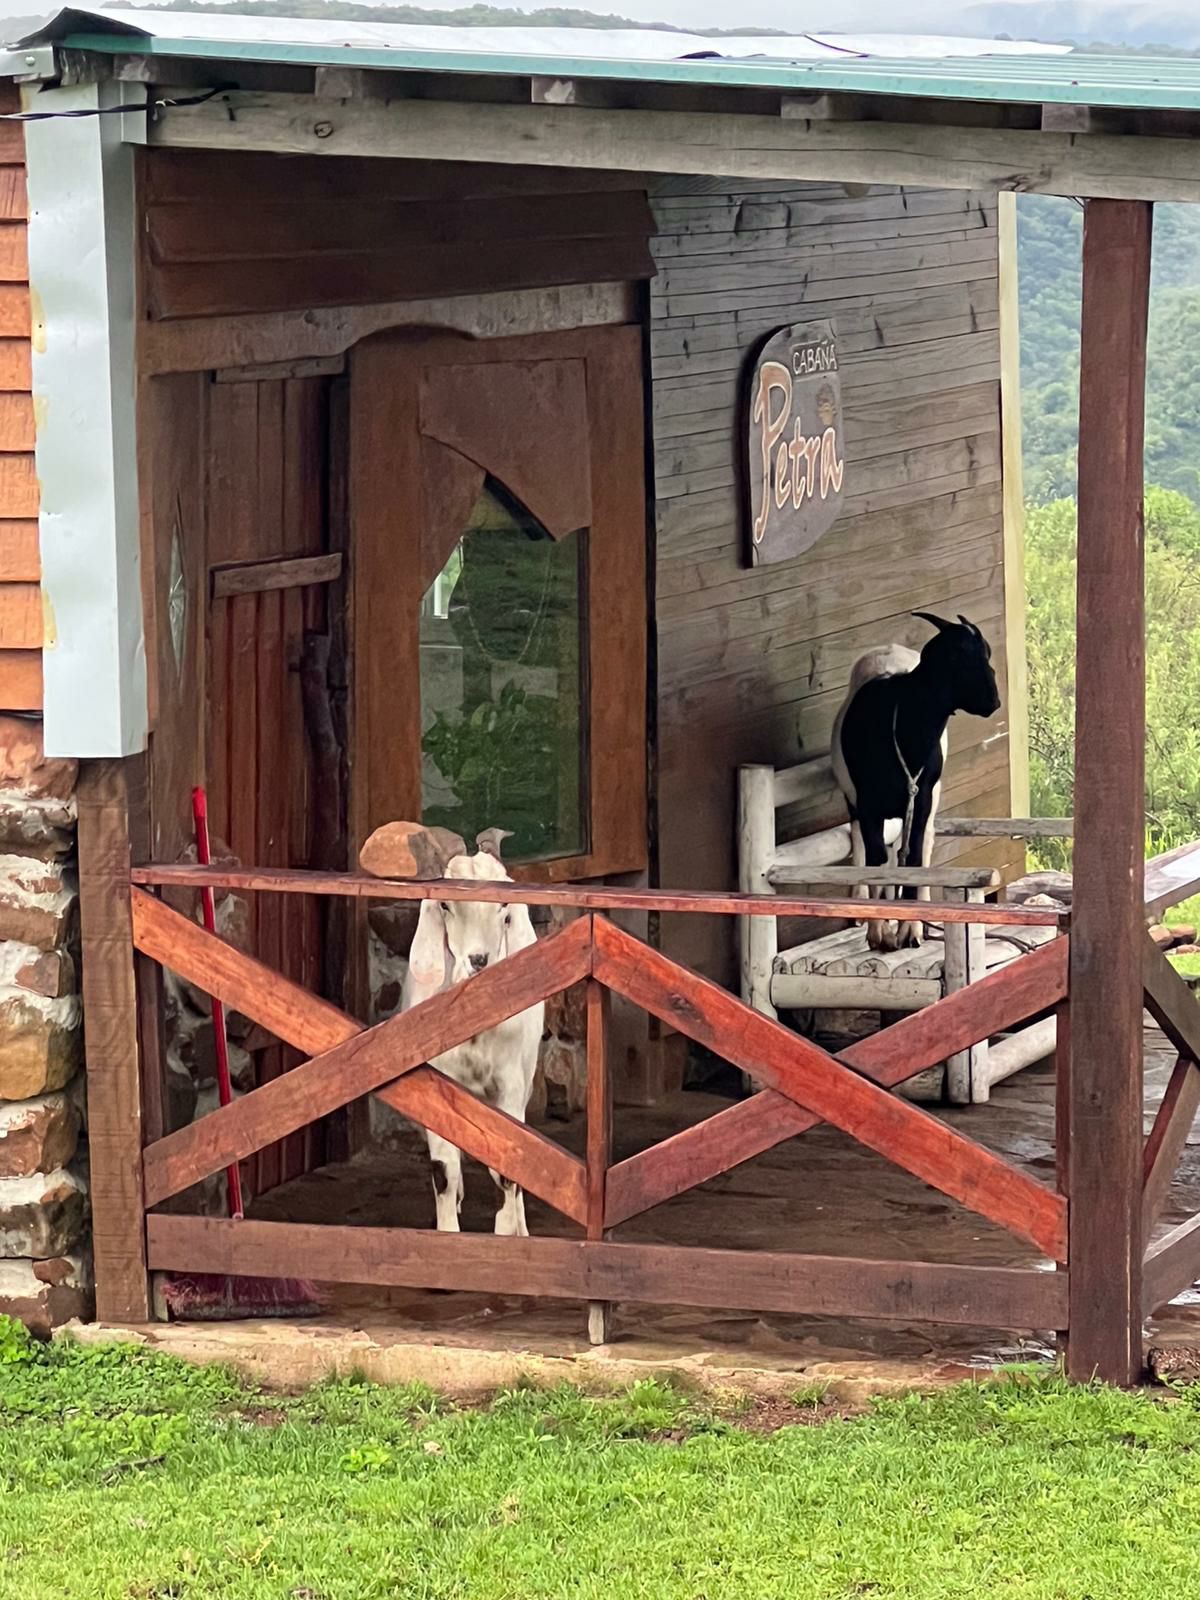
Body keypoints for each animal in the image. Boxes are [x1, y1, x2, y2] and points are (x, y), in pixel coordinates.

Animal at [401, 851, 544, 1235]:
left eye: (504, 907)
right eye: (445, 904)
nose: (478, 961)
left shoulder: (510, 1086)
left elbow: (508, 1171)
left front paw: (507, 1234)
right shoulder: (435, 1085)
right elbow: (444, 1171)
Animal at [832, 604, 998, 940]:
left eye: (986, 653)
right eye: (960, 657)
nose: (994, 701)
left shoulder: (921, 800)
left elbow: (914, 858)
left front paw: (909, 928)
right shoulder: (867, 805)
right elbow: (876, 859)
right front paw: (879, 931)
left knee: (924, 844)